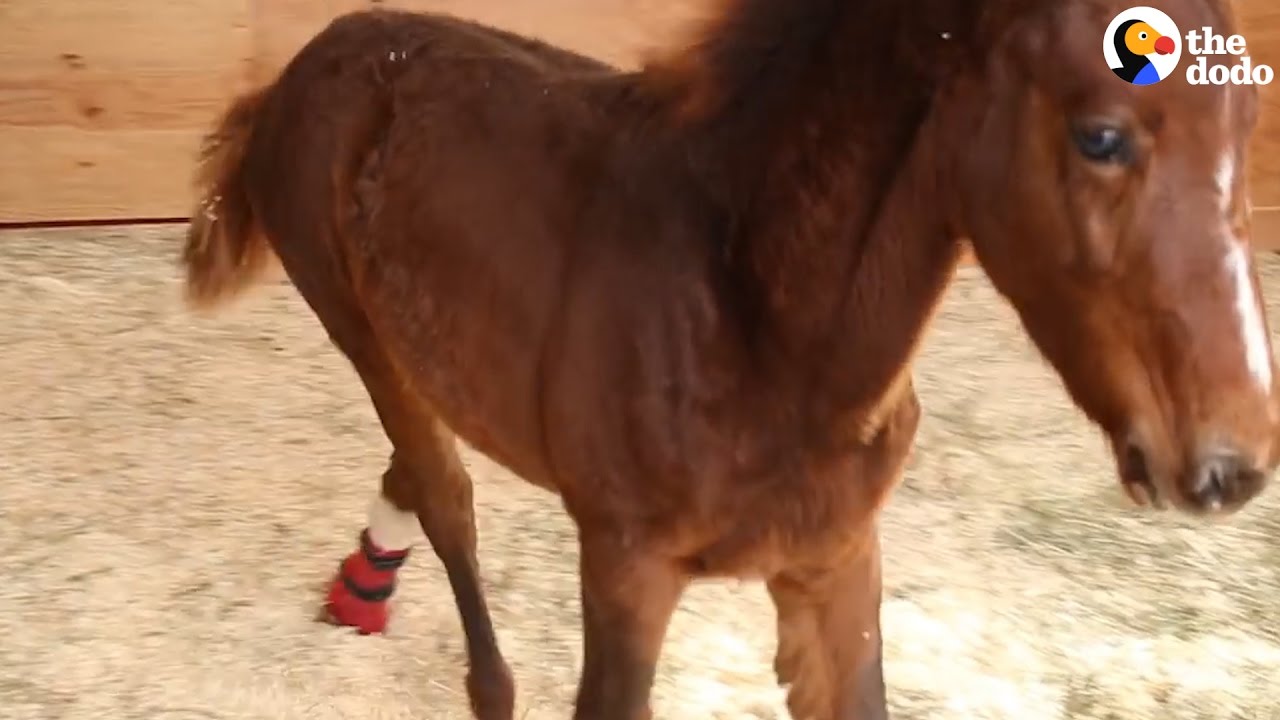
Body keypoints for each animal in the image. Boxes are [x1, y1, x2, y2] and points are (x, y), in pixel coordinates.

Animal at [180, 0, 1279, 717]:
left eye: (1247, 126)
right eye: (1101, 136)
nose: (1229, 464)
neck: (759, 322)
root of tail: (308, 59)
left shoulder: (837, 563)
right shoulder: (625, 573)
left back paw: (363, 584)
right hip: (355, 326)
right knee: (445, 490)